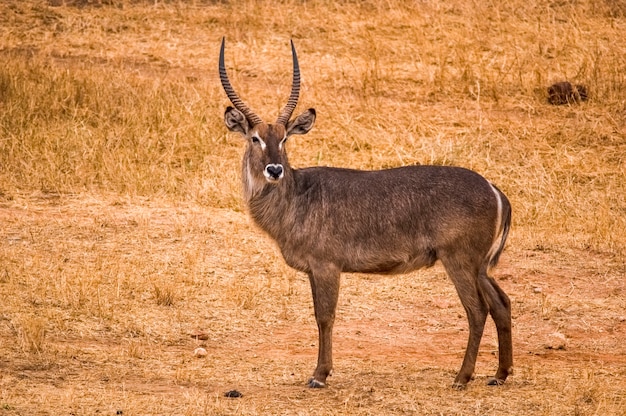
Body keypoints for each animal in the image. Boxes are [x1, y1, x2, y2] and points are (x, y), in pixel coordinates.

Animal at [219, 37, 512, 388]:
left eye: (285, 138)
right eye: (255, 138)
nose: (274, 170)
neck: (297, 196)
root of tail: (493, 188)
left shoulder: (326, 266)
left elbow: (325, 317)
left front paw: (319, 375)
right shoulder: (313, 270)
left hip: (460, 259)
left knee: (477, 310)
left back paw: (462, 377)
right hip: (480, 266)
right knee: (502, 303)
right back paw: (500, 374)